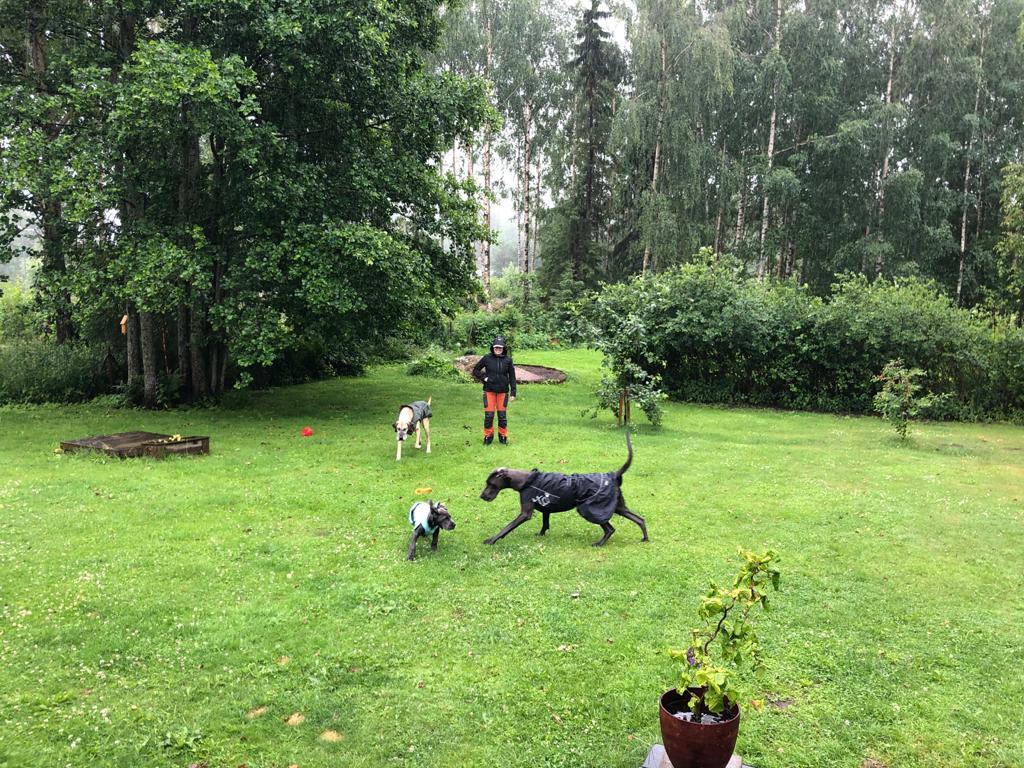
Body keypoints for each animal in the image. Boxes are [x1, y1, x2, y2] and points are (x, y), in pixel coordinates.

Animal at [479, 432, 648, 546]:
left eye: (491, 484)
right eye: (487, 483)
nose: (482, 496)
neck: (526, 480)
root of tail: (613, 475)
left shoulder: (525, 513)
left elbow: (507, 527)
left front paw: (492, 540)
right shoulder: (545, 507)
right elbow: (545, 523)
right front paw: (541, 534)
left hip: (591, 509)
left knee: (610, 529)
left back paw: (599, 544)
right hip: (618, 506)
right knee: (640, 519)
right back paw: (645, 538)